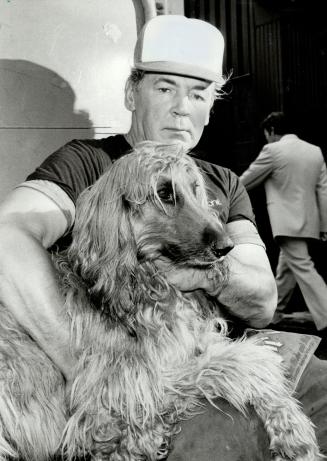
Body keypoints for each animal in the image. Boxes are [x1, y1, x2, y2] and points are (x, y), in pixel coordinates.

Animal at [0, 142, 322, 458]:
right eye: (164, 194)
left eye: (196, 189)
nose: (226, 247)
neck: (146, 283)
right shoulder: (125, 392)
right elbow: (245, 361)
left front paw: (290, 427)